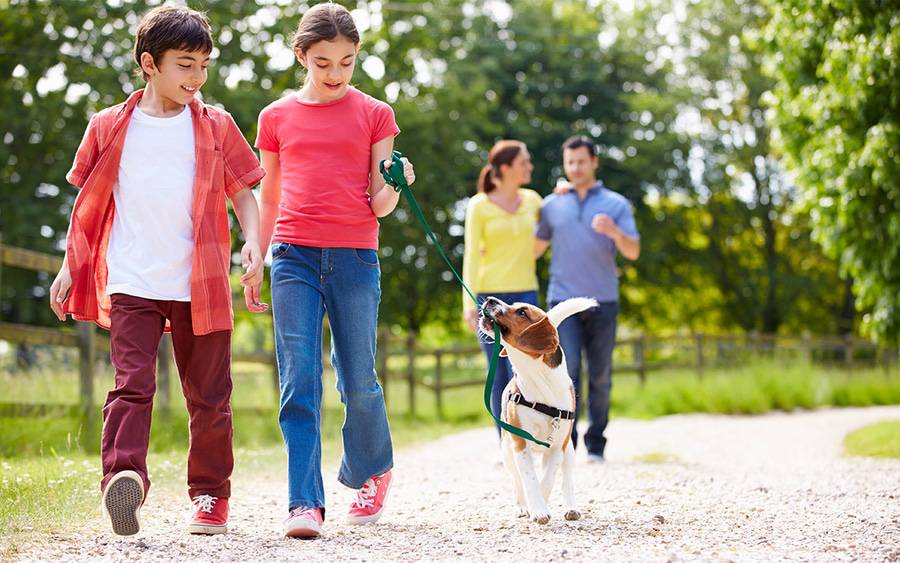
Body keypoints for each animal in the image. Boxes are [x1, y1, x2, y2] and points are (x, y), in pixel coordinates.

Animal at [478, 296, 596, 524]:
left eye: (522, 312)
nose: (490, 299)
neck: (541, 382)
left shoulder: (557, 446)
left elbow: (548, 479)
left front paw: (542, 502)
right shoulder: (520, 444)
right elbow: (529, 480)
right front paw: (537, 508)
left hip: (569, 451)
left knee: (566, 479)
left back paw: (571, 507)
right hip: (507, 452)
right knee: (517, 481)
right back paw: (522, 506)